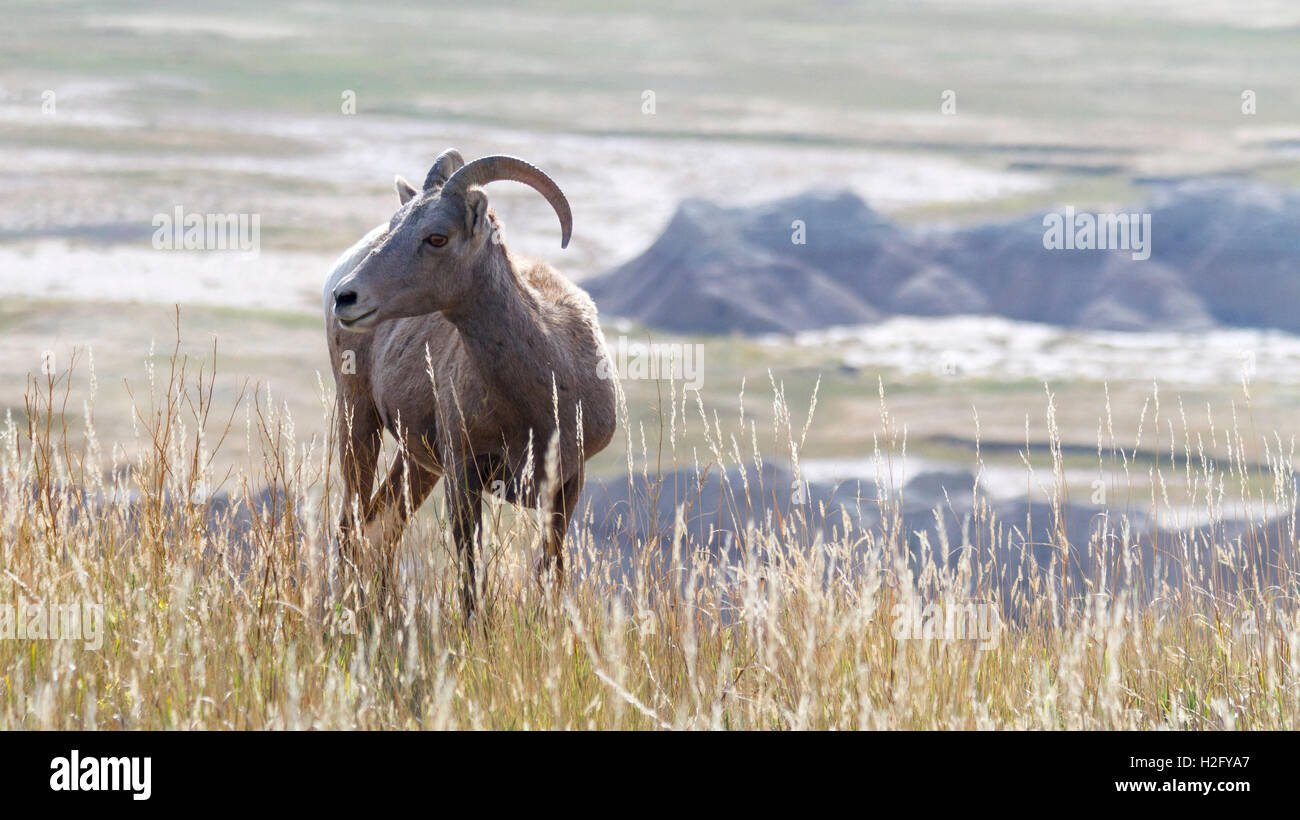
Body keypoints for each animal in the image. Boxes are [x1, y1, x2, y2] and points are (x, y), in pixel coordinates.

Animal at [319, 150, 613, 613]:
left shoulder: (566, 485)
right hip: (357, 419)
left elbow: (551, 571)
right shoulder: (463, 475)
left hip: (415, 462)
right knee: (352, 526)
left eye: (437, 238)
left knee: (381, 525)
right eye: (395, 224)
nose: (346, 297)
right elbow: (470, 575)